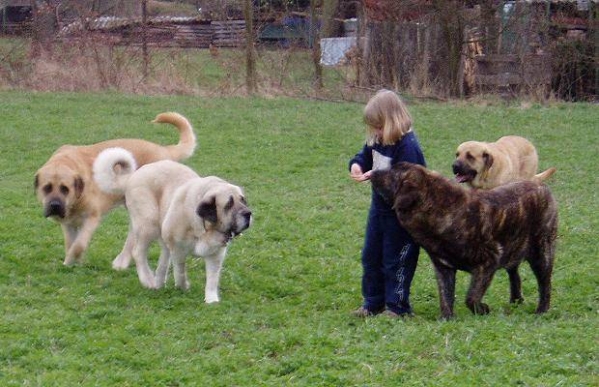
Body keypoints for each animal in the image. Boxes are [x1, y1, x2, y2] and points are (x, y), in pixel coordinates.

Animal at [34, 112, 197, 266]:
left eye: (65, 189)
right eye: (46, 188)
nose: (55, 205)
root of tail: (165, 150)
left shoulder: (92, 218)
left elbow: (79, 245)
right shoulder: (68, 224)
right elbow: (71, 245)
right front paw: (70, 263)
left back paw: (122, 262)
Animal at [94, 149, 253, 304]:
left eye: (243, 200)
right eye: (229, 204)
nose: (248, 213)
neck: (204, 228)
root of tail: (134, 174)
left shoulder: (216, 255)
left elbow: (212, 279)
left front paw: (212, 299)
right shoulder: (178, 248)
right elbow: (180, 270)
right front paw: (183, 286)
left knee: (162, 262)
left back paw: (158, 283)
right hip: (149, 224)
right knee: (138, 252)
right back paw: (148, 280)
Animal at [372, 162, 560, 320]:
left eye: (392, 173)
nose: (373, 171)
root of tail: (537, 181)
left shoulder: (488, 262)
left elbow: (471, 297)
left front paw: (482, 309)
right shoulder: (444, 268)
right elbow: (445, 296)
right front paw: (447, 319)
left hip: (542, 253)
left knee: (545, 283)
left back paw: (542, 310)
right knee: (514, 274)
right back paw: (516, 300)